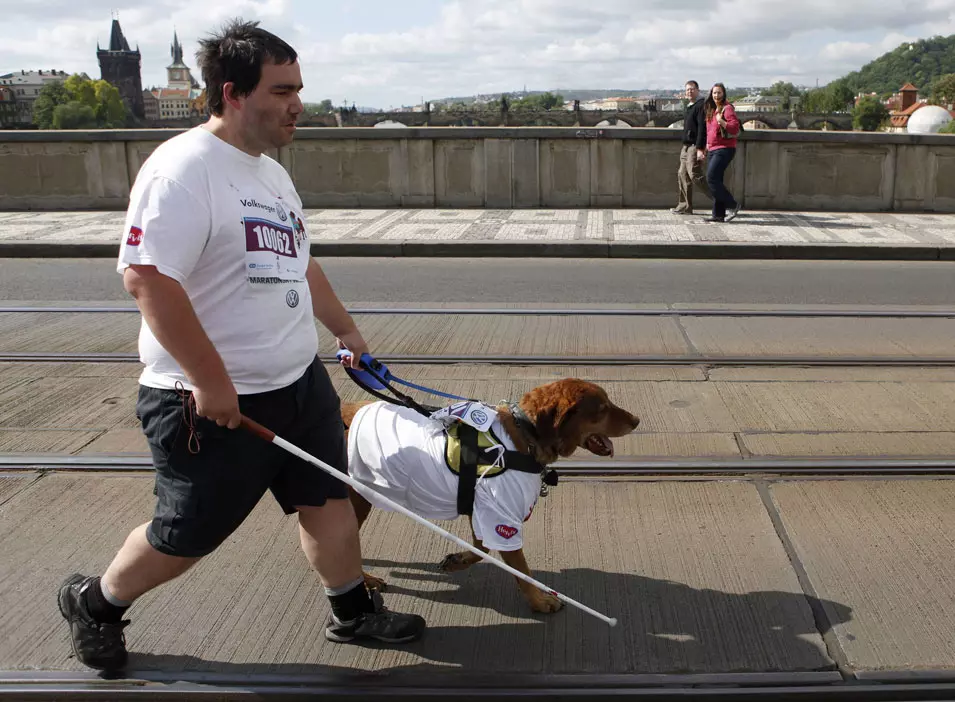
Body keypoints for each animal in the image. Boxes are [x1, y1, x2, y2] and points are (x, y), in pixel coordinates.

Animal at [340, 380, 640, 616]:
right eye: (602, 408)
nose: (637, 421)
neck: (525, 437)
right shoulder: (501, 517)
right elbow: (522, 572)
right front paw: (540, 601)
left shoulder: (482, 509)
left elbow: (481, 548)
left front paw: (458, 561)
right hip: (354, 499)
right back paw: (365, 580)